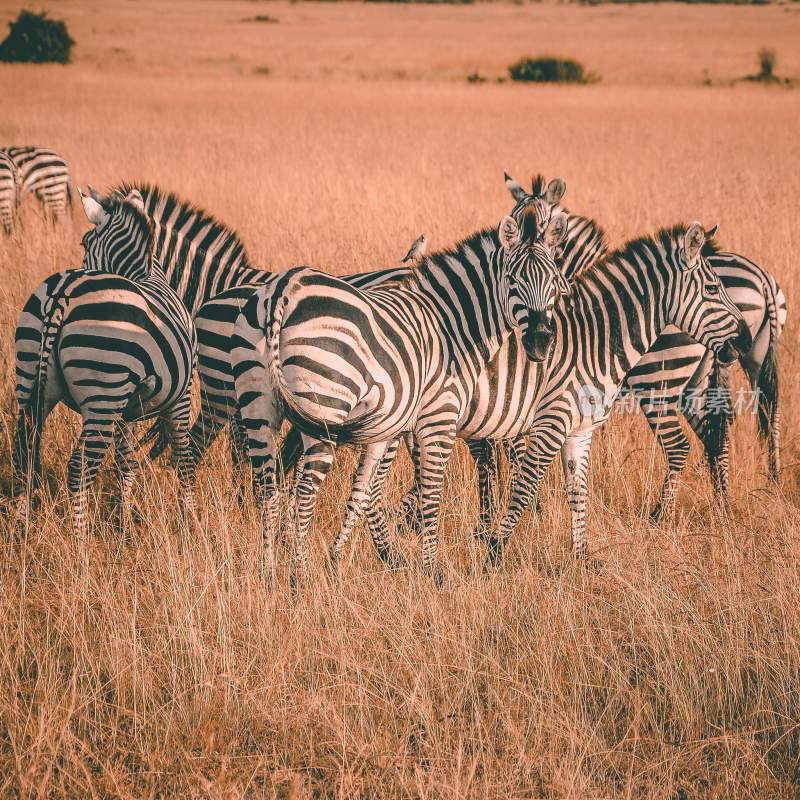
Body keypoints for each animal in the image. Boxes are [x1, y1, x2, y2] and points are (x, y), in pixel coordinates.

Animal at [12, 188, 197, 536]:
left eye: (84, 243)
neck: (147, 274)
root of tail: (63, 291)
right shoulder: (182, 396)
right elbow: (184, 456)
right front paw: (189, 522)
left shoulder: (129, 408)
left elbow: (126, 461)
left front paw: (123, 525)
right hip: (103, 391)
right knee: (79, 469)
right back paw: (80, 542)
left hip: (30, 380)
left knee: (23, 456)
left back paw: (21, 530)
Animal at [234, 200, 572, 584]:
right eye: (514, 280)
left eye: (553, 282)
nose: (541, 342)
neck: (452, 325)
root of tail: (283, 289)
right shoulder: (438, 417)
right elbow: (431, 491)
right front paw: (432, 569)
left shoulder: (392, 426)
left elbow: (366, 489)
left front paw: (349, 557)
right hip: (325, 408)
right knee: (304, 494)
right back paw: (300, 578)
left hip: (258, 405)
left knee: (268, 489)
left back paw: (268, 573)